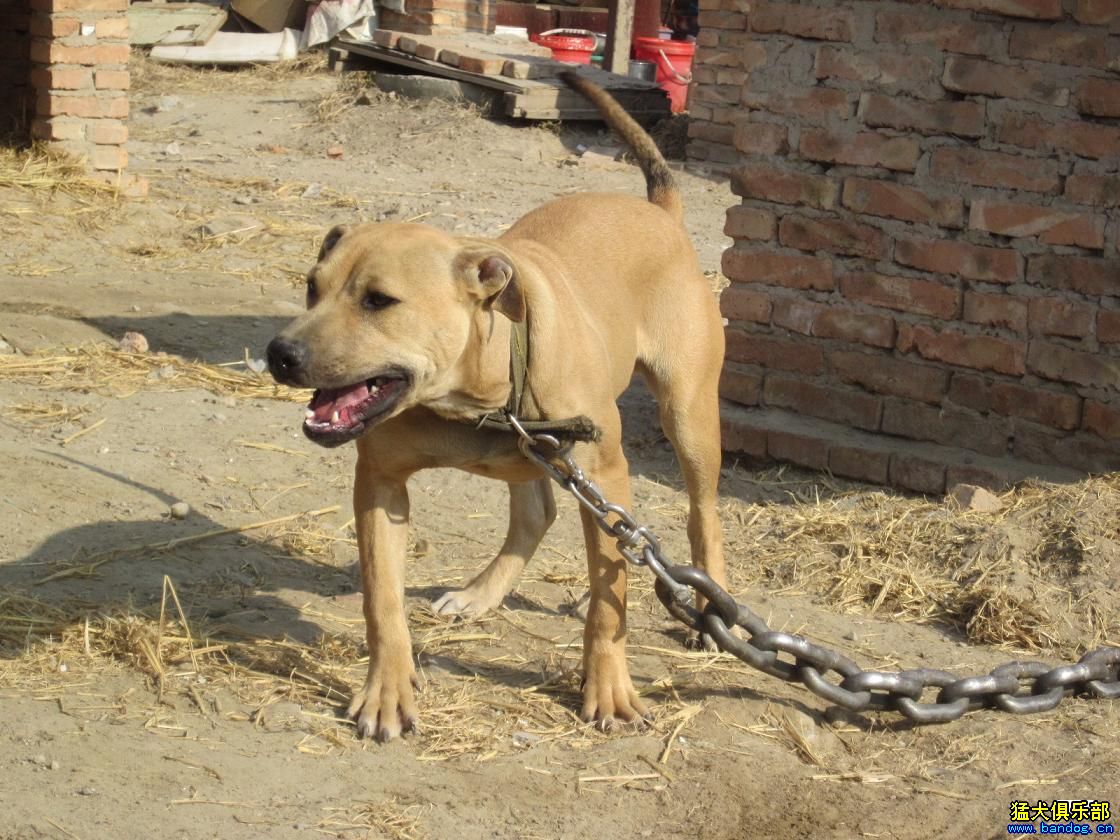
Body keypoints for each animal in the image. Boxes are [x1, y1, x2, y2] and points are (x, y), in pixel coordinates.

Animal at [268, 73, 725, 743]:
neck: (474, 391)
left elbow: (607, 602)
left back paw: (712, 608)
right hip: (539, 456)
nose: (280, 353)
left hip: (688, 416)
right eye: (311, 287)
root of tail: (659, 212)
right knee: (535, 512)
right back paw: (481, 594)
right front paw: (387, 691)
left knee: (702, 517)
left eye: (379, 300)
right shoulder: (380, 482)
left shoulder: (606, 478)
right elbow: (382, 598)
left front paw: (609, 690)